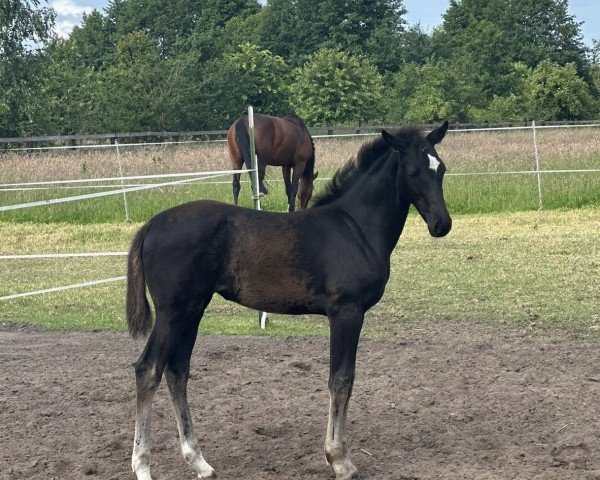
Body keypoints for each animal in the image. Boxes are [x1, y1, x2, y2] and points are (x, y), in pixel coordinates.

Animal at [129, 123, 452, 480]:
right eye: (412, 172)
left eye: (441, 169)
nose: (442, 224)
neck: (356, 228)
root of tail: (152, 224)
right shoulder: (347, 312)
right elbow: (341, 379)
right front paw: (340, 460)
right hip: (172, 313)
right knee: (148, 369)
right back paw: (143, 467)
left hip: (193, 310)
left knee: (177, 371)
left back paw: (199, 462)